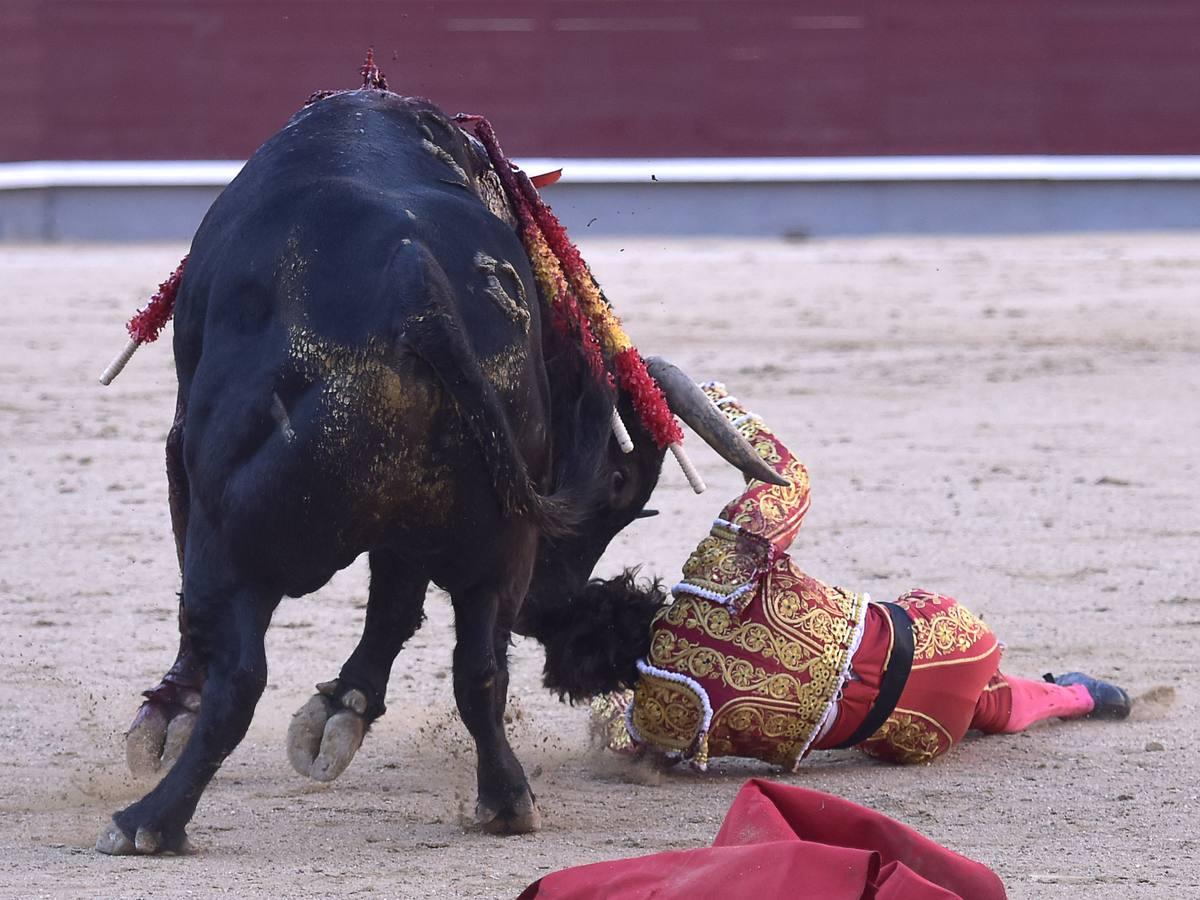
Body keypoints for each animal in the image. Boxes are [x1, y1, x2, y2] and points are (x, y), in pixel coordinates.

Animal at [98, 91, 782, 859]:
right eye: (614, 495)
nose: (552, 608)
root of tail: (417, 291)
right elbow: (402, 609)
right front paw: (343, 710)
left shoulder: (183, 447)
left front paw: (168, 717)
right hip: (491, 543)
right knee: (477, 666)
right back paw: (505, 800)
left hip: (238, 540)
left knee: (240, 673)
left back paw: (148, 821)